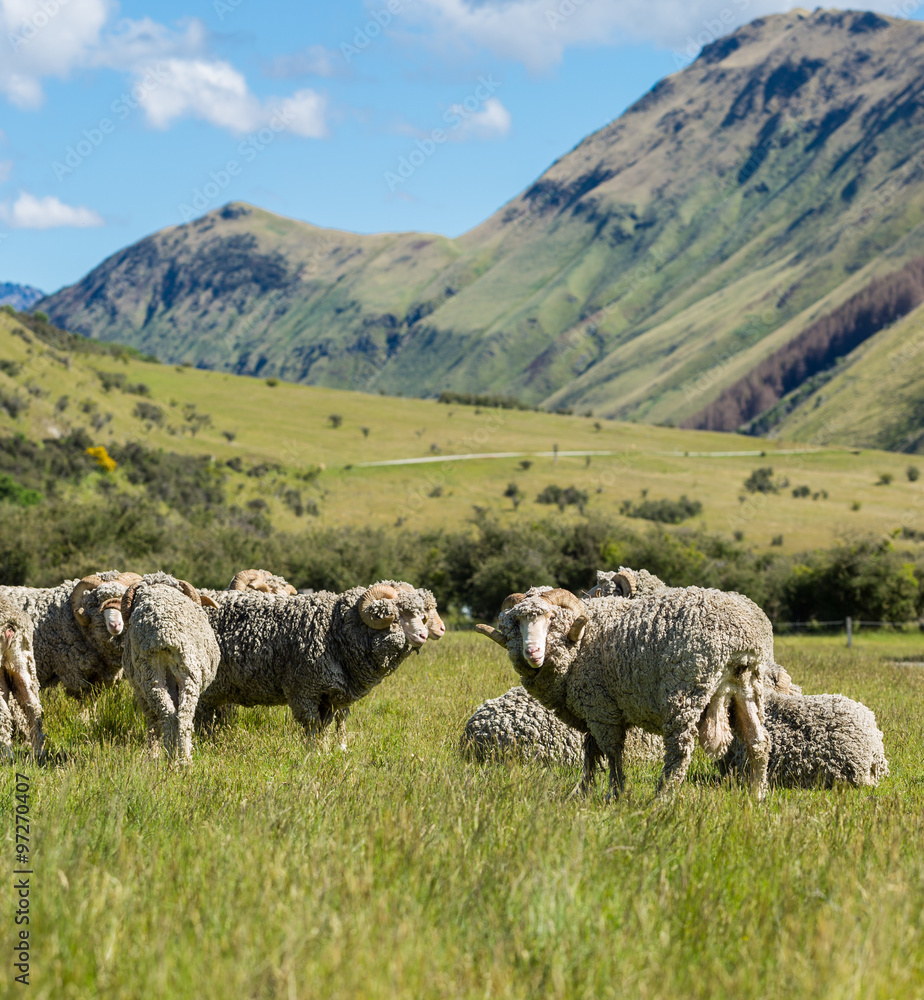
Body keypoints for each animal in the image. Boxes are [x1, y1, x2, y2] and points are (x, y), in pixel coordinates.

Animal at [120, 573, 220, 764]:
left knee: (170, 716)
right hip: (185, 671)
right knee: (180, 716)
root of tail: (163, 630)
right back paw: (181, 759)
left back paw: (175, 759)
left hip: (151, 673)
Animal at [195, 582, 432, 745]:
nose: (423, 635)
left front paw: (325, 751)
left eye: (420, 615)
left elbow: (323, 729)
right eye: (397, 615)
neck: (334, 628)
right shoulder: (304, 690)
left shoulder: (328, 695)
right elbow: (312, 727)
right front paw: (313, 754)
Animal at [476, 586, 774, 800]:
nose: (532, 652)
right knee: (758, 742)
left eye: (551, 618)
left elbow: (612, 752)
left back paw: (661, 798)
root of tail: (742, 637)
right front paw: (582, 792)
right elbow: (591, 752)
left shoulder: (601, 709)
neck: (583, 638)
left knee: (679, 750)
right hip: (747, 686)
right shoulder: (595, 710)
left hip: (685, 690)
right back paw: (757, 796)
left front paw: (615, 792)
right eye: (517, 622)